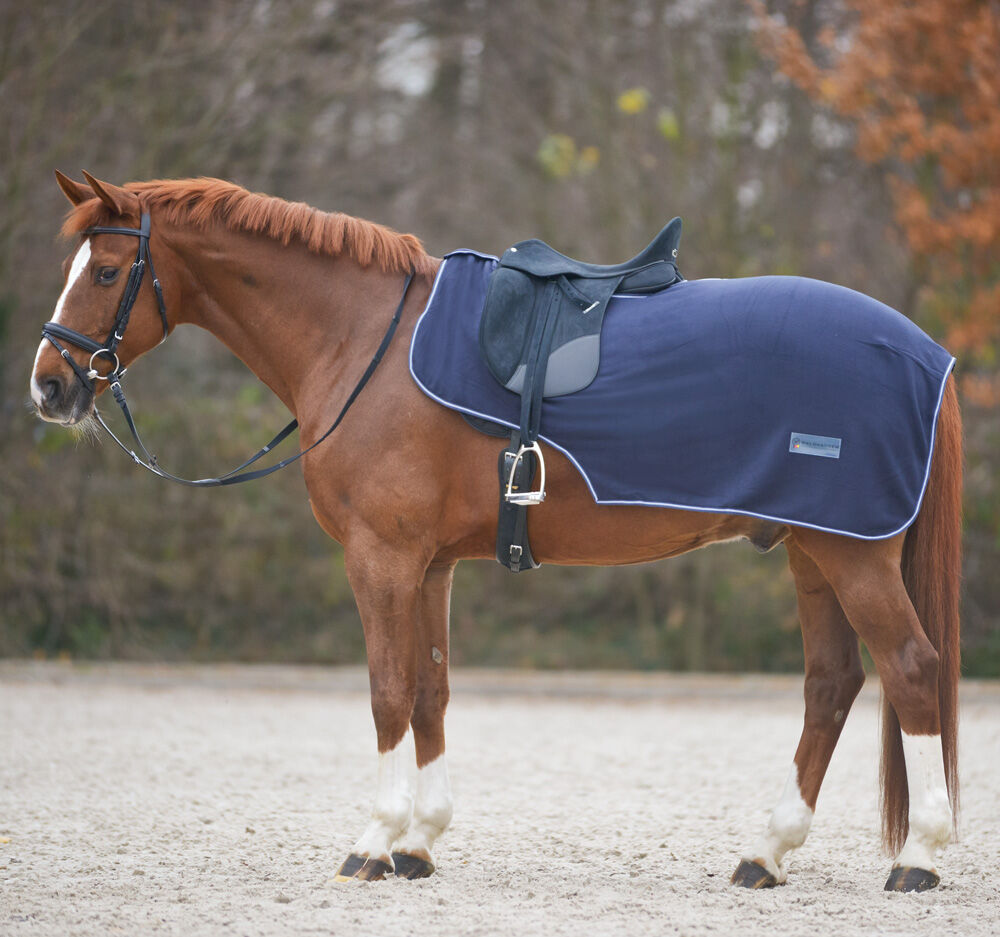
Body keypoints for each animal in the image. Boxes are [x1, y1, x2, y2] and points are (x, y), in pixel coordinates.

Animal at [30, 171, 962, 893]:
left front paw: (373, 842)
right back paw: (766, 853)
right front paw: (418, 842)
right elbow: (430, 691)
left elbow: (386, 691)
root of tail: (925, 352)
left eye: (107, 269)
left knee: (912, 670)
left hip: (852, 555)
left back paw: (918, 856)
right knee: (831, 686)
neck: (362, 339)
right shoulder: (430, 564)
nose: (48, 386)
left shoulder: (381, 558)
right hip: (811, 550)